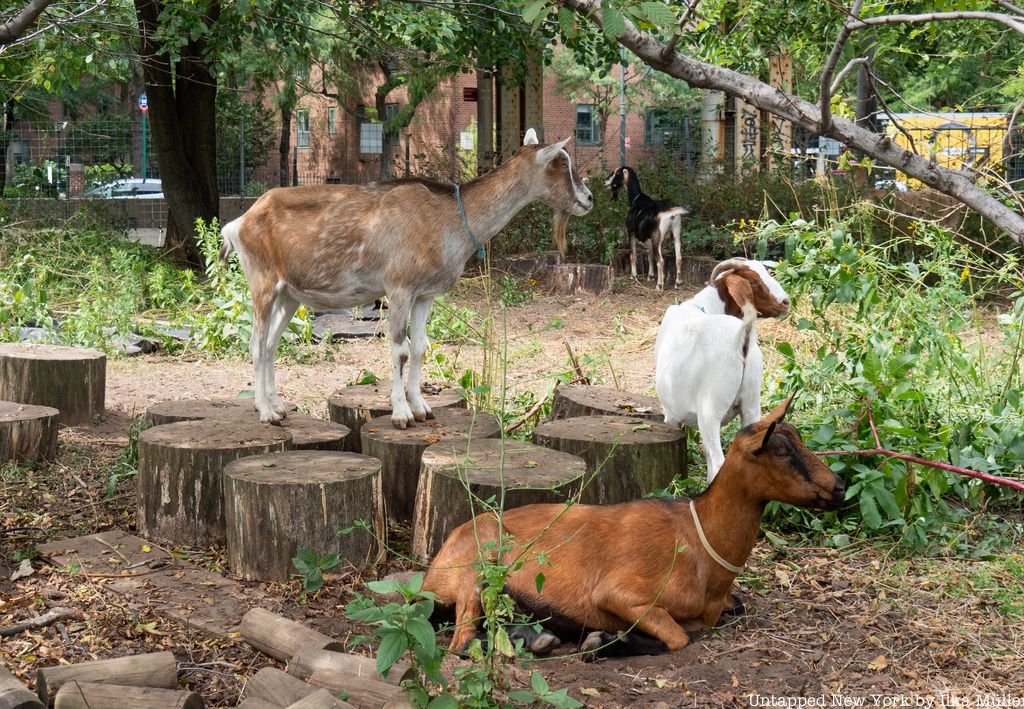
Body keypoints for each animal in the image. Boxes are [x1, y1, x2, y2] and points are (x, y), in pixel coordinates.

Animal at [223, 129, 593, 424]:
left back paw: (278, 406)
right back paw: (266, 412)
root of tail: (238, 223)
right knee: (256, 343)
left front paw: (421, 407)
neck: (448, 221)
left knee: (271, 344)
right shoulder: (398, 288)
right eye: (560, 162)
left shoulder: (425, 294)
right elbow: (400, 349)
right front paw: (401, 414)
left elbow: (421, 348)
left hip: (288, 294)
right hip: (262, 282)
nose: (588, 199)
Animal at [419, 393, 843, 659]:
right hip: (477, 566)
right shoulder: (620, 594)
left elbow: (731, 609)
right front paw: (602, 642)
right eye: (782, 451)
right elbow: (678, 637)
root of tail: (432, 572)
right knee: (462, 641)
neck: (701, 544)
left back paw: (537, 636)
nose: (838, 487)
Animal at [655, 257, 790, 485]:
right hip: (751, 404)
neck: (703, 307)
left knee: (719, 463)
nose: (785, 302)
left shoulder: (671, 414)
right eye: (753, 282)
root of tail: (741, 340)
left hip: (710, 410)